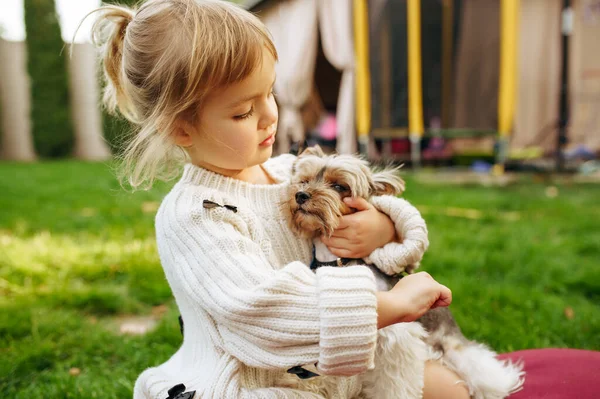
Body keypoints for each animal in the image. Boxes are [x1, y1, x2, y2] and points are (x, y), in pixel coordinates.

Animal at [284, 145, 524, 398]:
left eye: (339, 186)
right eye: (304, 180)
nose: (301, 195)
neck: (337, 261)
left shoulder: (397, 336)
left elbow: (394, 383)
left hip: (463, 356)